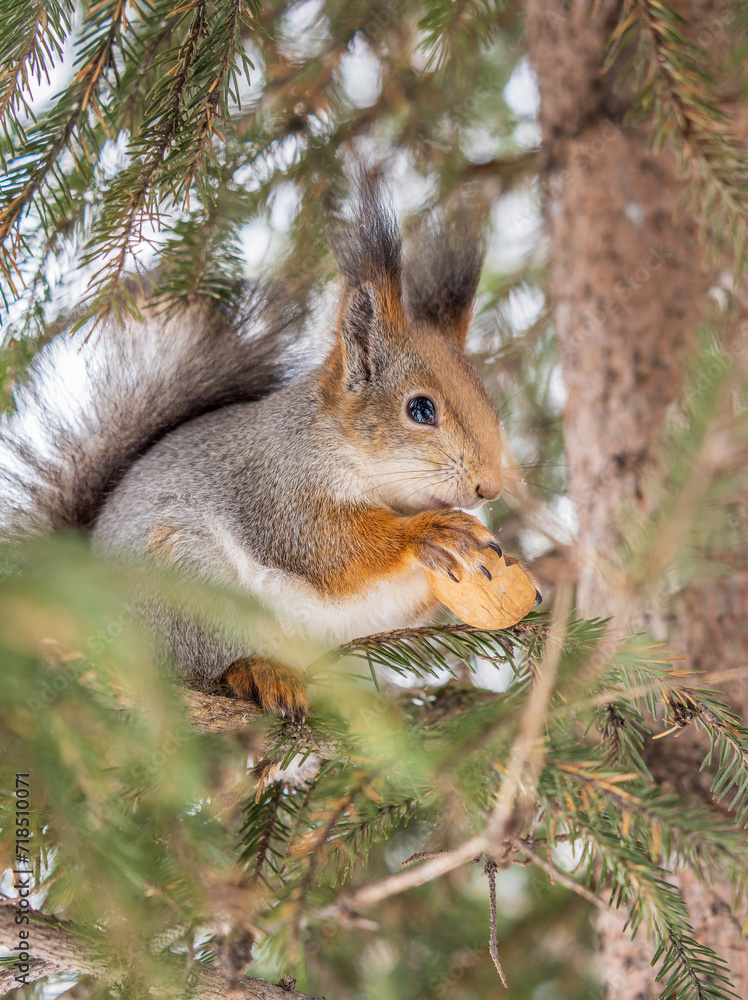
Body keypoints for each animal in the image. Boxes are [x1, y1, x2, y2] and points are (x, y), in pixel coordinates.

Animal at [0, 171, 539, 719]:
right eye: (421, 409)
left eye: (486, 396)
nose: (489, 489)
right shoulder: (279, 487)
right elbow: (328, 548)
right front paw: (431, 532)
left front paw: (516, 568)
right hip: (185, 583)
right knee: (201, 668)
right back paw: (260, 672)